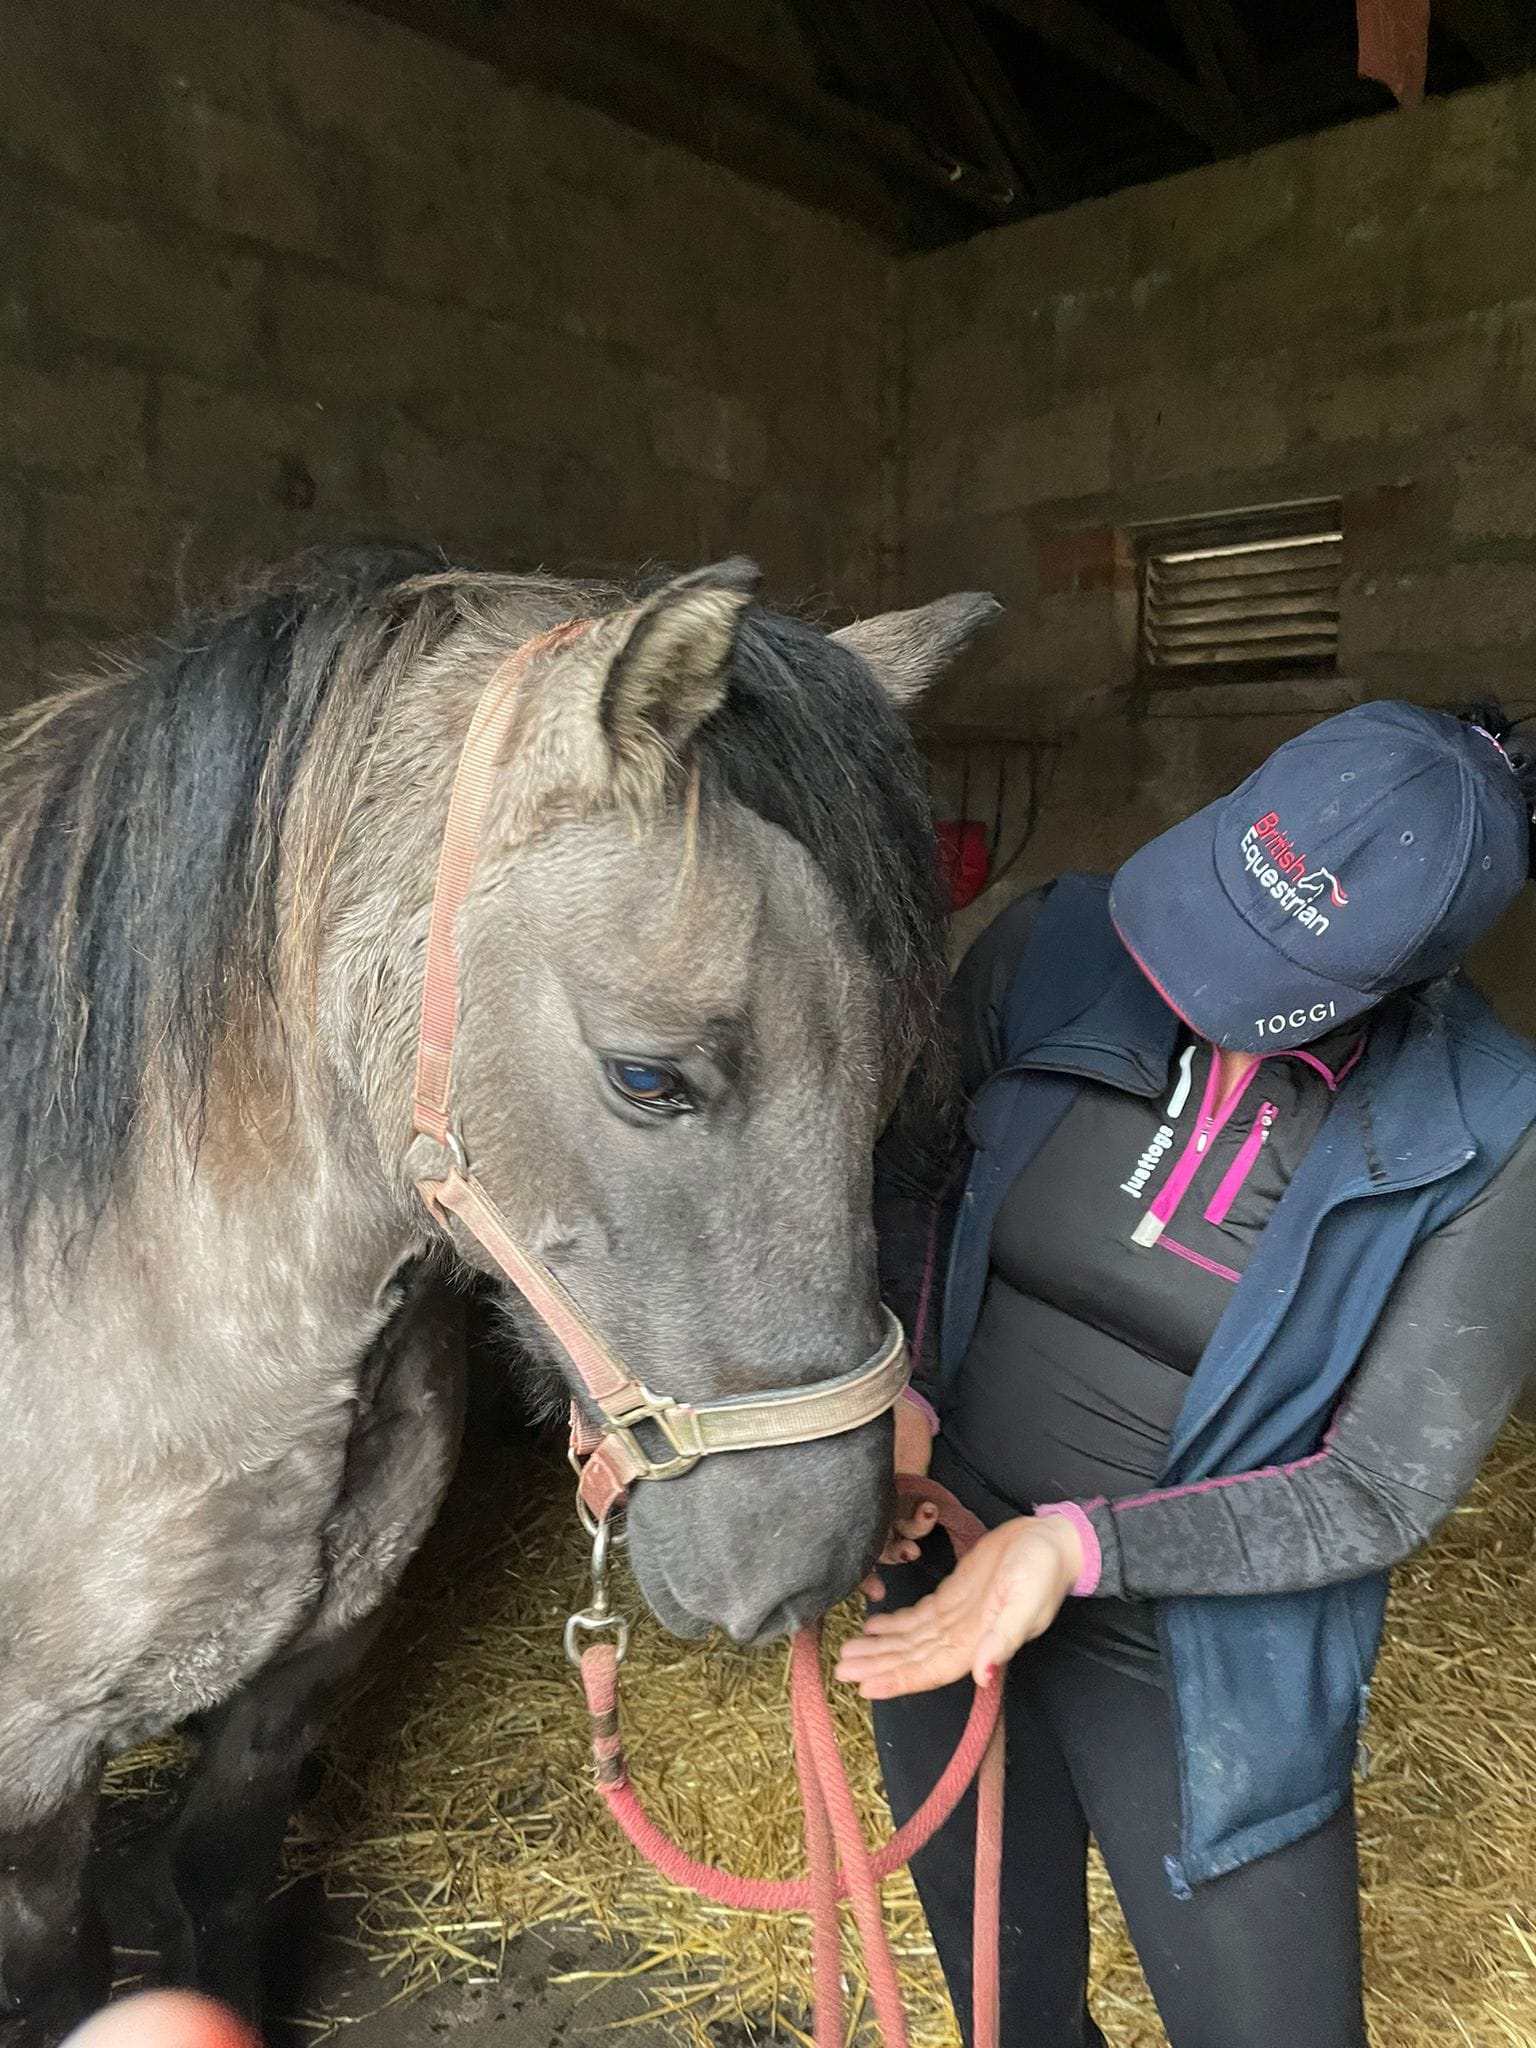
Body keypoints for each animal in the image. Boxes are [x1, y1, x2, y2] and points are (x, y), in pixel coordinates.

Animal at [0, 547, 996, 2041]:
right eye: (648, 1076)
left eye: (890, 1065)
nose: (808, 1564)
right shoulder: (30, 1790)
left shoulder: (292, 1686)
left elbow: (216, 1891)